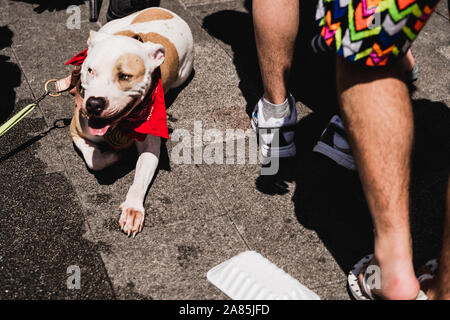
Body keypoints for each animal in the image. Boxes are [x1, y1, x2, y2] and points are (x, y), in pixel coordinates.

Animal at [68, 8, 193, 238]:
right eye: (90, 70)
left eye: (125, 76)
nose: (94, 104)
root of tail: (167, 10)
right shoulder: (75, 130)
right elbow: (93, 159)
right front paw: (113, 155)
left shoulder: (151, 144)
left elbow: (141, 175)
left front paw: (133, 209)